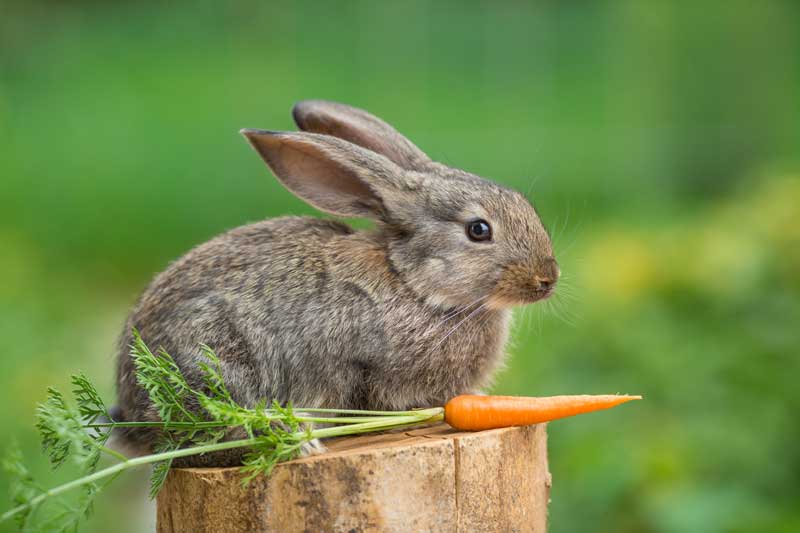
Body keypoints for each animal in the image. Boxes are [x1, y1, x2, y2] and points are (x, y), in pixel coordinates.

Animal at [113, 100, 559, 466]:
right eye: (478, 230)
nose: (548, 278)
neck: (414, 284)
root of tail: (130, 415)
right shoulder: (361, 365)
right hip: (212, 364)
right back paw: (296, 440)